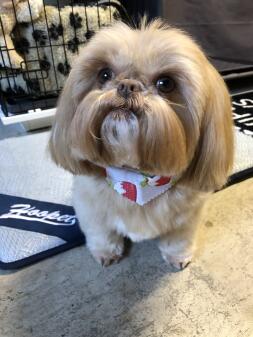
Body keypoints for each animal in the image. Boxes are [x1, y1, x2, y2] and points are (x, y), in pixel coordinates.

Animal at [49, 19, 233, 270]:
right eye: (104, 74)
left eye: (165, 83)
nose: (127, 85)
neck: (136, 175)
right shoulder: (91, 210)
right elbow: (101, 233)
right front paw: (106, 252)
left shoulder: (188, 217)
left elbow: (179, 238)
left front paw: (178, 256)